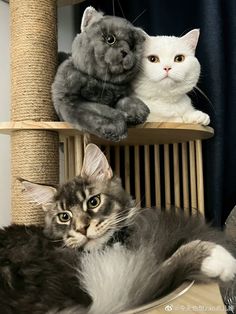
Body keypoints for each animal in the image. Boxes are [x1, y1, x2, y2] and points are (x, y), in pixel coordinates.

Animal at [52, 6, 150, 142]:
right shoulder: (73, 101)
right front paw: (118, 127)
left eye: (132, 47)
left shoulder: (120, 95)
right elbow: (105, 112)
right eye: (110, 39)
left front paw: (137, 111)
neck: (103, 82)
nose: (125, 51)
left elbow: (126, 100)